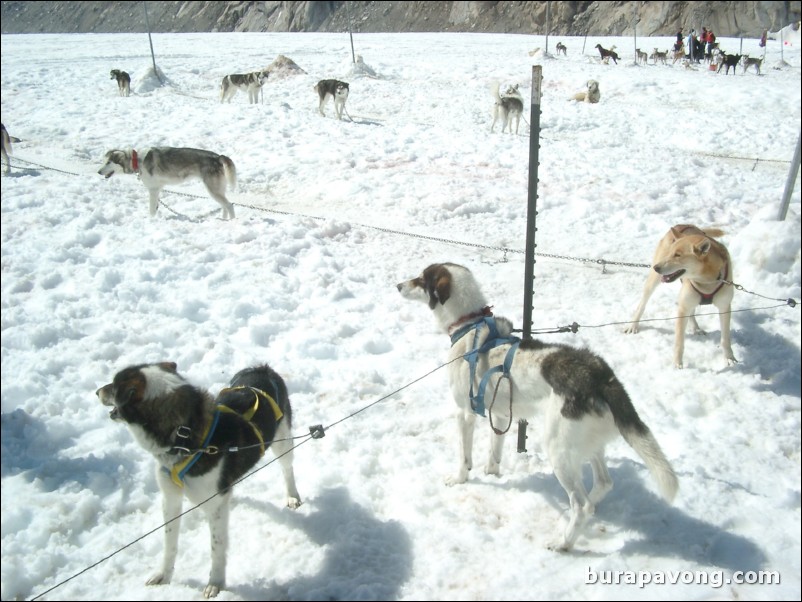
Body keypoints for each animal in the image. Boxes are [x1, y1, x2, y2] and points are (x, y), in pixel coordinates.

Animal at [96, 360, 300, 596]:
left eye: (113, 385)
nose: (97, 391)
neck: (183, 436)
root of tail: (263, 368)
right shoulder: (171, 499)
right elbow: (170, 543)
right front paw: (164, 574)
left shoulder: (214, 507)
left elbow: (217, 548)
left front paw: (216, 583)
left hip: (283, 442)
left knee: (287, 469)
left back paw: (293, 496)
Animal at [97, 145, 238, 218]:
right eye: (104, 161)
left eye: (109, 162)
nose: (98, 171)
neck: (137, 160)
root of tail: (217, 157)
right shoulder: (157, 189)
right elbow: (155, 208)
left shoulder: (153, 190)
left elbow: (151, 210)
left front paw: (151, 221)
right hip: (217, 190)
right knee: (225, 206)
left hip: (213, 190)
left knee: (229, 205)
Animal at [394, 262, 676, 548]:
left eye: (421, 279)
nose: (397, 285)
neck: (469, 325)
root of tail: (600, 375)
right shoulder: (499, 415)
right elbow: (494, 454)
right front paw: (492, 473)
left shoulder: (464, 414)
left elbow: (464, 457)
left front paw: (460, 478)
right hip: (586, 445)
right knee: (603, 484)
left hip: (558, 450)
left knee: (581, 505)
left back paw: (564, 542)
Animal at [620, 224, 736, 368]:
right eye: (671, 252)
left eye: (678, 255)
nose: (656, 268)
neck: (706, 281)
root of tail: (683, 225)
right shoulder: (682, 309)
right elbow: (679, 341)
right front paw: (677, 363)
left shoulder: (724, 308)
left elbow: (725, 338)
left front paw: (729, 358)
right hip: (653, 283)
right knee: (642, 304)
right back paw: (633, 325)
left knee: (692, 312)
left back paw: (696, 328)